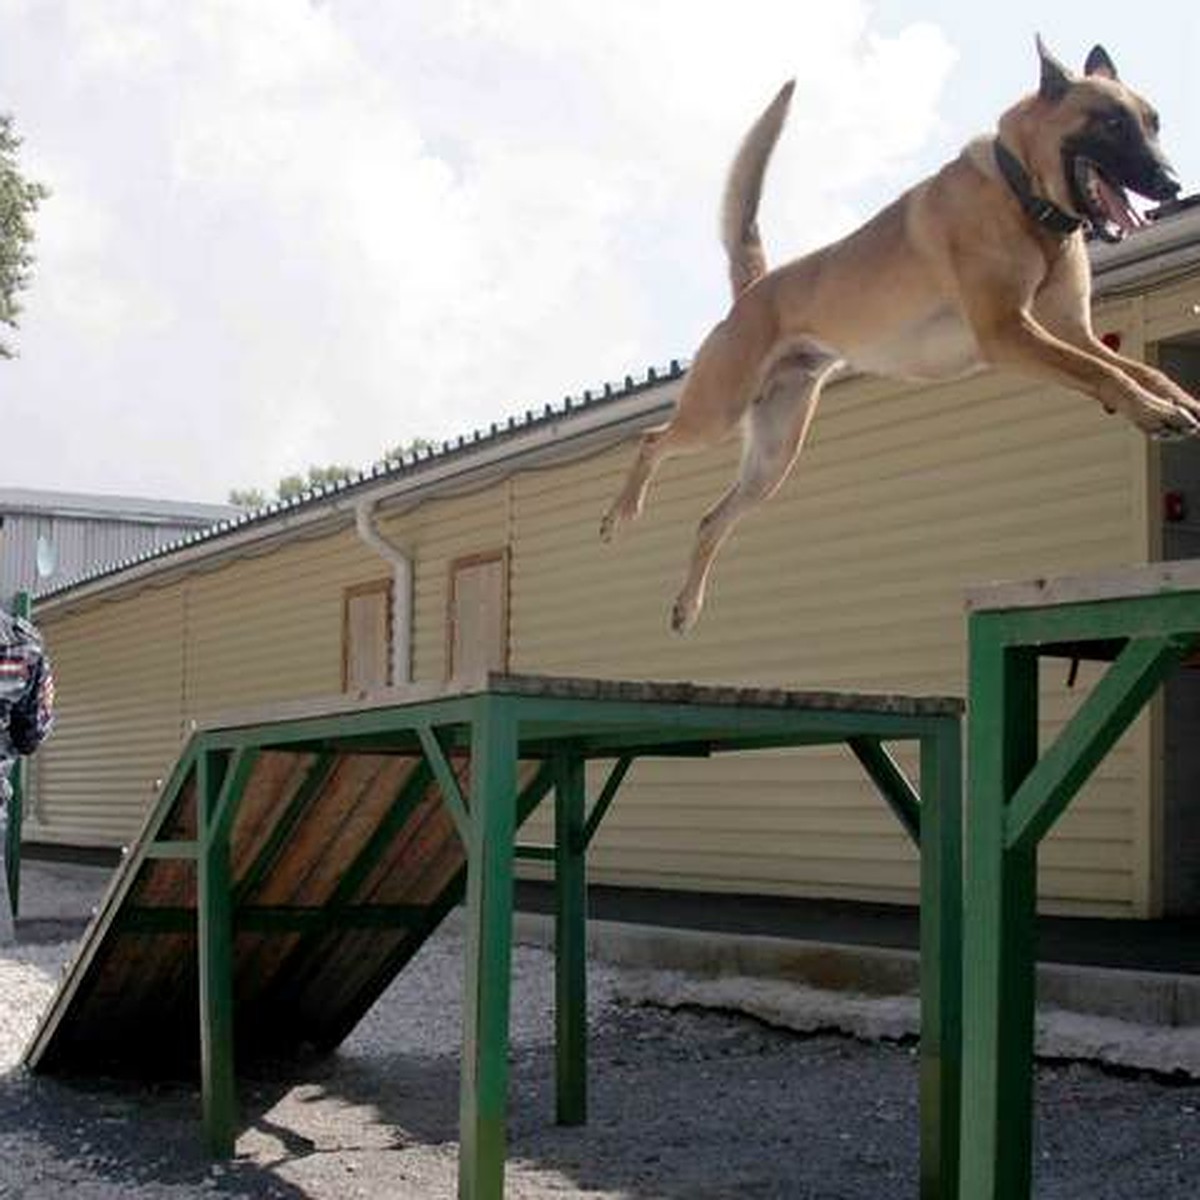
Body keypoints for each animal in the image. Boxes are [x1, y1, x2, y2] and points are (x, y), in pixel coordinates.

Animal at [604, 39, 1195, 638]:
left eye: (1154, 124)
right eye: (1113, 123)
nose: (1172, 184)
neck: (1022, 192)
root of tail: (754, 289)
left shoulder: (1072, 330)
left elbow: (1138, 368)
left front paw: (1177, 401)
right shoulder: (1010, 331)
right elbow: (1106, 371)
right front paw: (1154, 411)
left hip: (773, 457)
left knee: (709, 520)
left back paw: (687, 605)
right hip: (717, 411)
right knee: (652, 439)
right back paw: (621, 513)